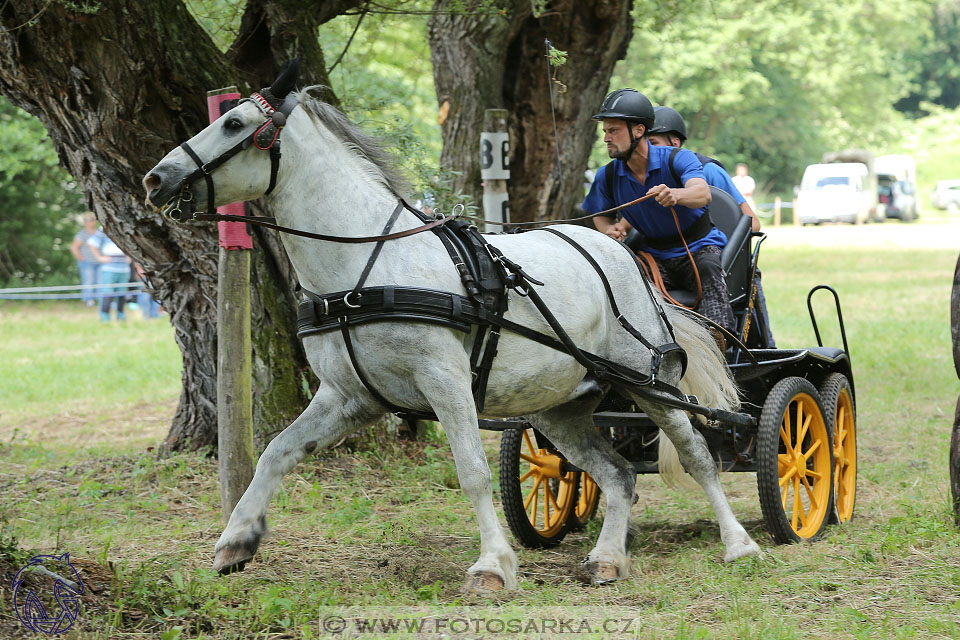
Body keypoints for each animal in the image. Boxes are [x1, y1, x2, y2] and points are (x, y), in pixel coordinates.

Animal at [142, 67, 756, 592]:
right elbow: (276, 452)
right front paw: (236, 540)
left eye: (234, 123)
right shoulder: (347, 397)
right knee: (619, 474)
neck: (367, 266)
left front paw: (493, 566)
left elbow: (472, 472)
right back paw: (608, 558)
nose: (155, 178)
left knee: (697, 454)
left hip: (647, 383)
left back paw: (739, 544)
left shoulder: (446, 383)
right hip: (559, 408)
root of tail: (620, 253)